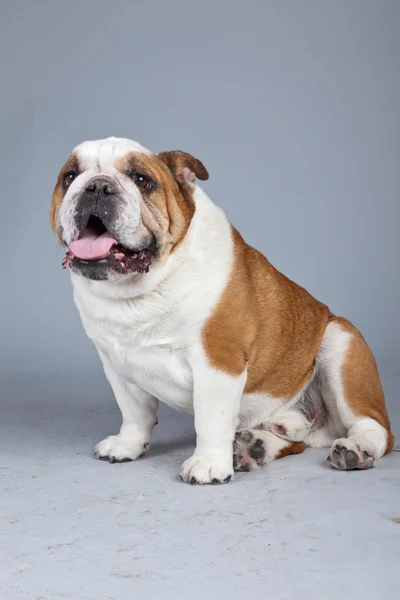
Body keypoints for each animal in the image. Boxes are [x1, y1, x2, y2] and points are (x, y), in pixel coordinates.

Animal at [50, 137, 394, 482]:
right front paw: (127, 445)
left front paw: (209, 464)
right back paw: (255, 447)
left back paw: (355, 450)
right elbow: (134, 412)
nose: (97, 186)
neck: (145, 286)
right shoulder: (117, 366)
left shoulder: (217, 361)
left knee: (376, 429)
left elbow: (211, 418)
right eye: (70, 177)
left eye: (141, 180)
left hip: (340, 344)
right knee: (295, 441)